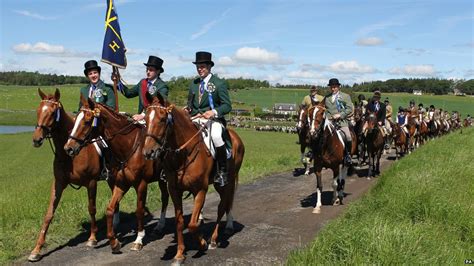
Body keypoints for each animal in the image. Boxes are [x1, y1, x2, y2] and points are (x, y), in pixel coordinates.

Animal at [29, 89, 116, 262]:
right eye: (38, 110)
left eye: (52, 112)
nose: (36, 139)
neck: (70, 154)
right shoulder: (58, 183)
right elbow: (49, 214)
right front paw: (37, 250)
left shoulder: (91, 183)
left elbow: (91, 208)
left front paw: (92, 238)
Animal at [64, 96, 169, 254]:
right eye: (76, 119)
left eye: (87, 121)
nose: (68, 148)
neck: (129, 147)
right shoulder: (120, 183)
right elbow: (110, 209)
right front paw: (114, 242)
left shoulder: (141, 184)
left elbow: (139, 211)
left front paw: (138, 239)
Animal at [141, 94, 244, 264]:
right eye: (146, 119)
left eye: (162, 119)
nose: (148, 152)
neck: (184, 154)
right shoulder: (174, 190)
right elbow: (180, 222)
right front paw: (179, 254)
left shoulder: (200, 190)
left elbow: (193, 224)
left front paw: (202, 243)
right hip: (218, 185)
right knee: (224, 204)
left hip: (227, 183)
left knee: (222, 207)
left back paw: (214, 240)